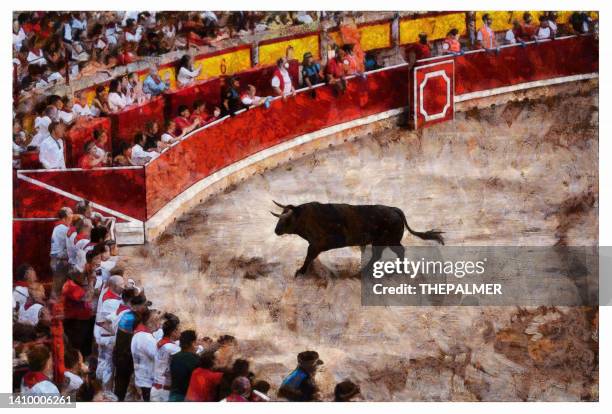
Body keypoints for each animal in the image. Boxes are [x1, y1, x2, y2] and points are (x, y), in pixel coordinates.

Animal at [270, 201, 442, 276]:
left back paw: (397, 269)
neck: (304, 218)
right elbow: (309, 257)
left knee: (399, 251)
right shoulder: (314, 246)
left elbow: (308, 257)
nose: (276, 231)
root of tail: (394, 209)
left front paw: (301, 271)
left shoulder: (315, 245)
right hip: (380, 242)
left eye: (286, 220)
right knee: (379, 255)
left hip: (389, 241)